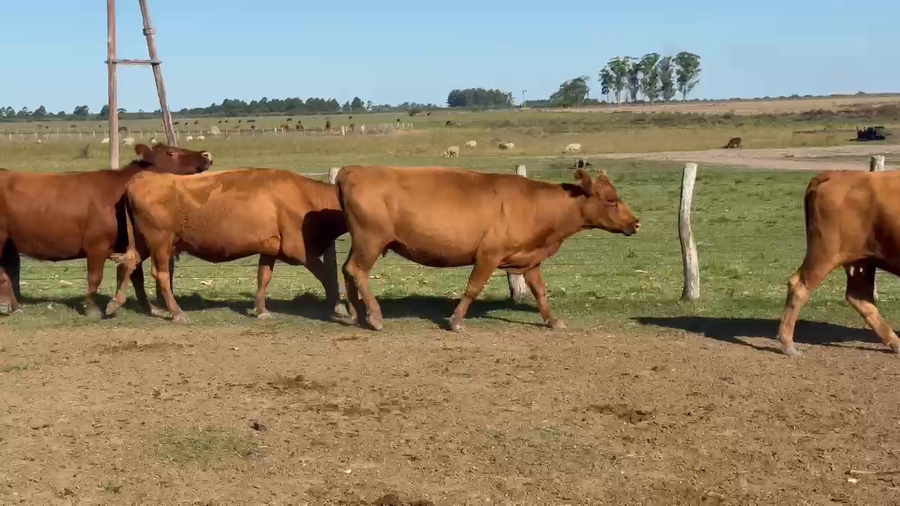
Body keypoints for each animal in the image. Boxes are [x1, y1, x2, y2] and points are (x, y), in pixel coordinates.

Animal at [0, 144, 212, 317]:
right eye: (171, 152)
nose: (206, 154)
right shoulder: (96, 245)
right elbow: (95, 278)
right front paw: (91, 309)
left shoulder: (127, 244)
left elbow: (136, 277)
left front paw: (149, 308)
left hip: (9, 243)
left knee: (9, 271)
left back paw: (14, 306)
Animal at [108, 169, 348, 323]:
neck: (306, 198)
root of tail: (140, 179)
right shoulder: (299, 249)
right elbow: (327, 275)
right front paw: (340, 306)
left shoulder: (269, 248)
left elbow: (263, 277)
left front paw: (261, 309)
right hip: (161, 242)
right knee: (161, 274)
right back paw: (176, 313)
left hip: (144, 242)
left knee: (128, 264)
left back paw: (120, 304)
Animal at [335, 166, 640, 331]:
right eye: (610, 199)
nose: (635, 223)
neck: (535, 204)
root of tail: (354, 170)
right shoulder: (488, 255)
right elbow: (473, 287)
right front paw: (456, 322)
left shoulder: (530, 260)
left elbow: (540, 292)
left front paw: (553, 321)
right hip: (370, 240)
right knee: (357, 270)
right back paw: (375, 316)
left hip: (362, 242)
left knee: (348, 270)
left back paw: (356, 313)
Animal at [778, 171, 900, 356]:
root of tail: (837, 173)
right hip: (825, 253)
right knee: (799, 287)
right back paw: (788, 345)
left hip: (860, 261)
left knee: (858, 296)